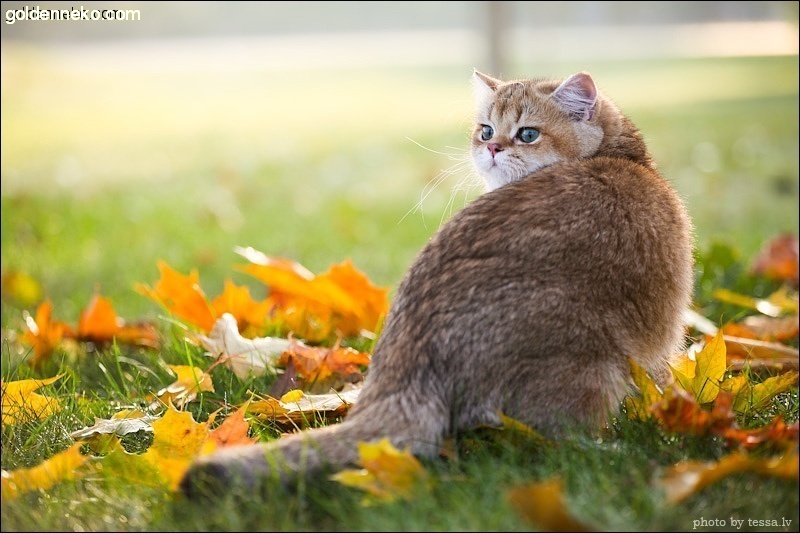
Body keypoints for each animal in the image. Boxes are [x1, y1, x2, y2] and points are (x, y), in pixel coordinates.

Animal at [180, 69, 692, 494]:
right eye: (486, 130)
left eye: (527, 134)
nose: (492, 148)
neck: (627, 160)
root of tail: (405, 370)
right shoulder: (659, 341)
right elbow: (662, 383)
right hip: (594, 364)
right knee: (554, 443)